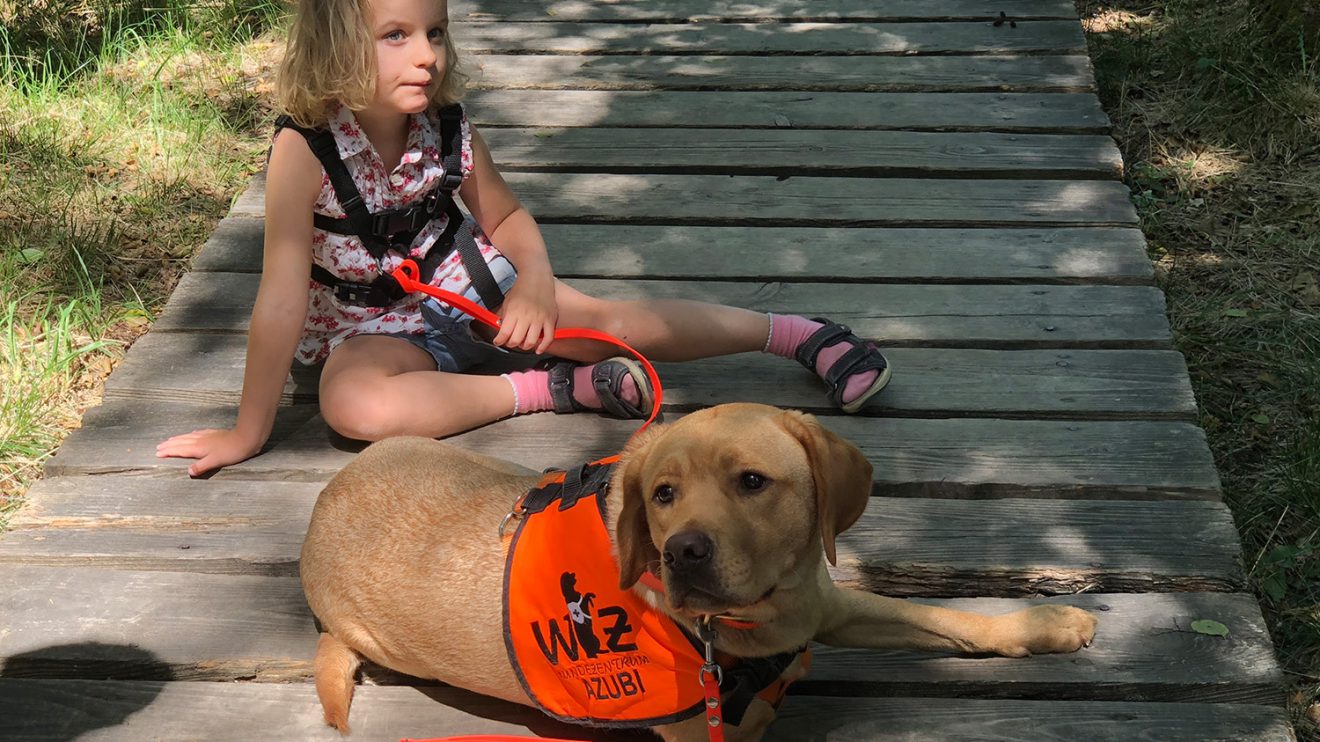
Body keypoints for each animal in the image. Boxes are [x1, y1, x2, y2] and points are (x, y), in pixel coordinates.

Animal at [303, 401, 1098, 734]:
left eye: (751, 481)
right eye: (663, 494)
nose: (683, 551)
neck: (765, 612)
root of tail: (318, 511)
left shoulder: (826, 602)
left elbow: (944, 616)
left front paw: (1048, 624)